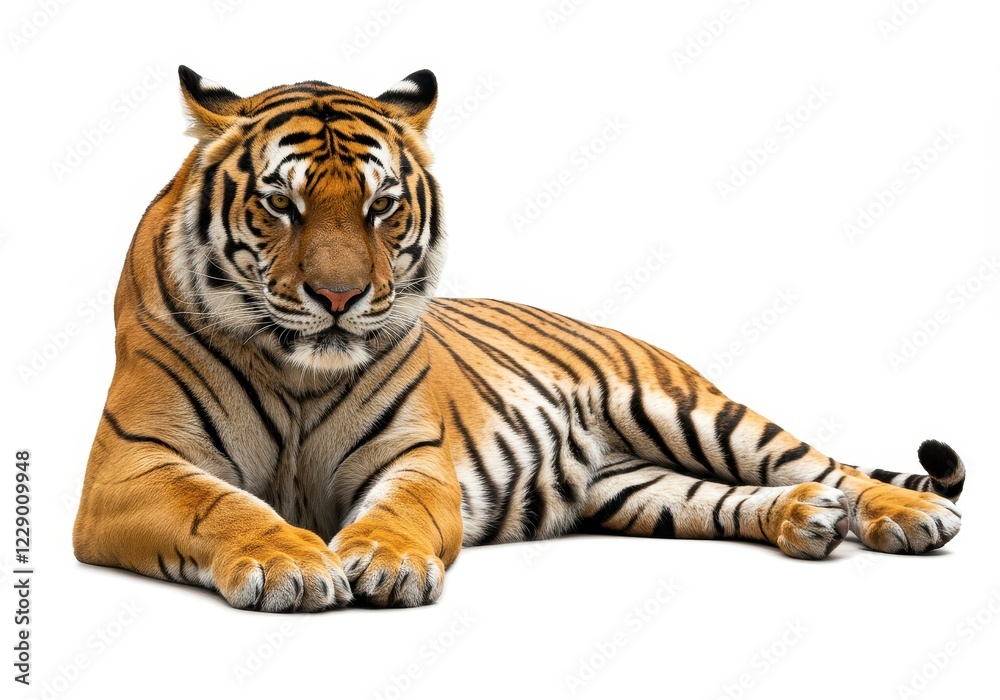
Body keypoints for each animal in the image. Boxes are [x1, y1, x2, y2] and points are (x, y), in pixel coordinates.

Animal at [72, 66, 966, 612]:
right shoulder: (133, 465)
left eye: (380, 207)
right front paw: (287, 559)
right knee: (727, 498)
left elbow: (397, 512)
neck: (299, 371)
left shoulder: (415, 458)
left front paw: (386, 563)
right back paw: (806, 521)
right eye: (281, 205)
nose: (338, 297)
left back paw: (908, 515)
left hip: (691, 411)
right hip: (631, 487)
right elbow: (219, 504)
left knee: (830, 465)